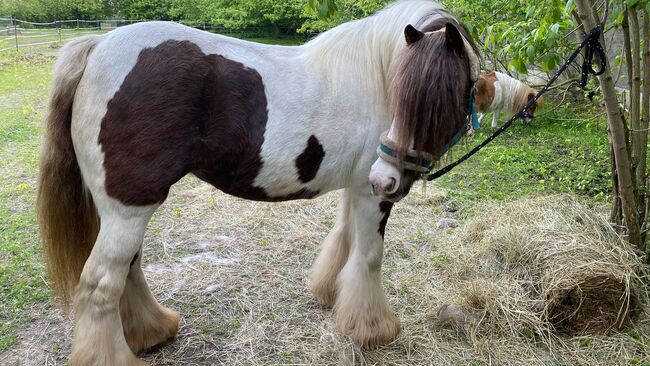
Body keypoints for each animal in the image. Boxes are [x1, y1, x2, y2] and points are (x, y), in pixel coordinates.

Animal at [38, 0, 478, 364]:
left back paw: (152, 331)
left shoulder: (358, 186)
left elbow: (344, 239)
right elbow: (369, 256)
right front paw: (373, 330)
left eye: (442, 96)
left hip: (123, 211)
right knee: (100, 284)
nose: (391, 179)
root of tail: (97, 47)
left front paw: (332, 296)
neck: (375, 76)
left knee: (128, 269)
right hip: (129, 208)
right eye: (416, 97)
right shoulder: (372, 196)